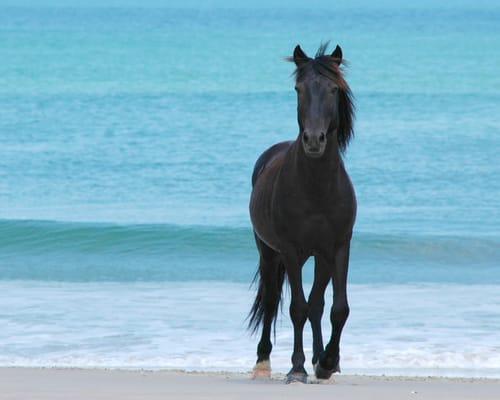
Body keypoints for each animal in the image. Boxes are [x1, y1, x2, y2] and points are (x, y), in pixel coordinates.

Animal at [248, 42, 354, 382]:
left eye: (334, 89)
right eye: (299, 89)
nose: (313, 140)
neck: (317, 189)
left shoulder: (339, 248)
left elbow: (337, 308)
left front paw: (327, 362)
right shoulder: (291, 251)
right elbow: (297, 308)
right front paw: (297, 368)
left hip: (320, 258)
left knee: (318, 305)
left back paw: (321, 358)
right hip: (269, 253)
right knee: (271, 301)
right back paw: (263, 361)